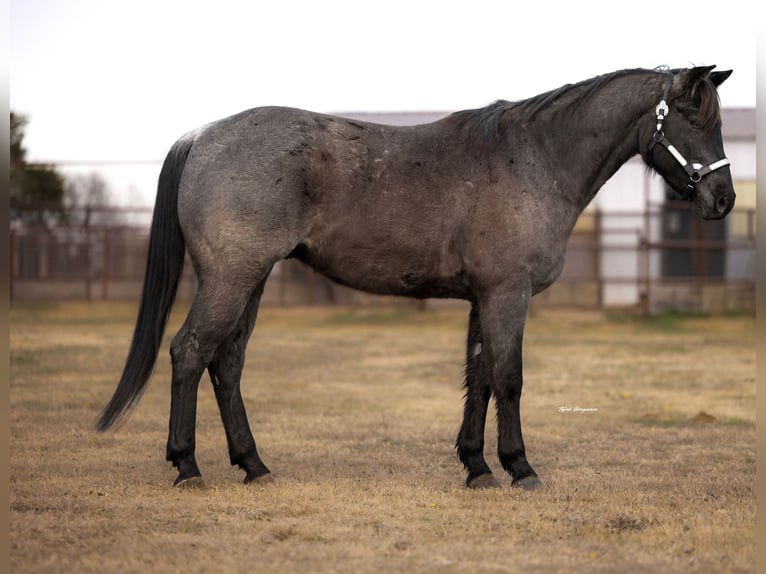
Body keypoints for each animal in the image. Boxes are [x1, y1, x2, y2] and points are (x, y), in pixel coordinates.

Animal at [97, 66, 734, 490]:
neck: (535, 158)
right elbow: (509, 379)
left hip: (249, 281)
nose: (724, 199)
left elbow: (479, 378)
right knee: (189, 351)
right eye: (690, 116)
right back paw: (187, 466)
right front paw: (520, 468)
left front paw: (477, 467)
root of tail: (201, 137)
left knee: (225, 364)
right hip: (231, 278)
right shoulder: (508, 294)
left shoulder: (485, 297)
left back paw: (254, 466)